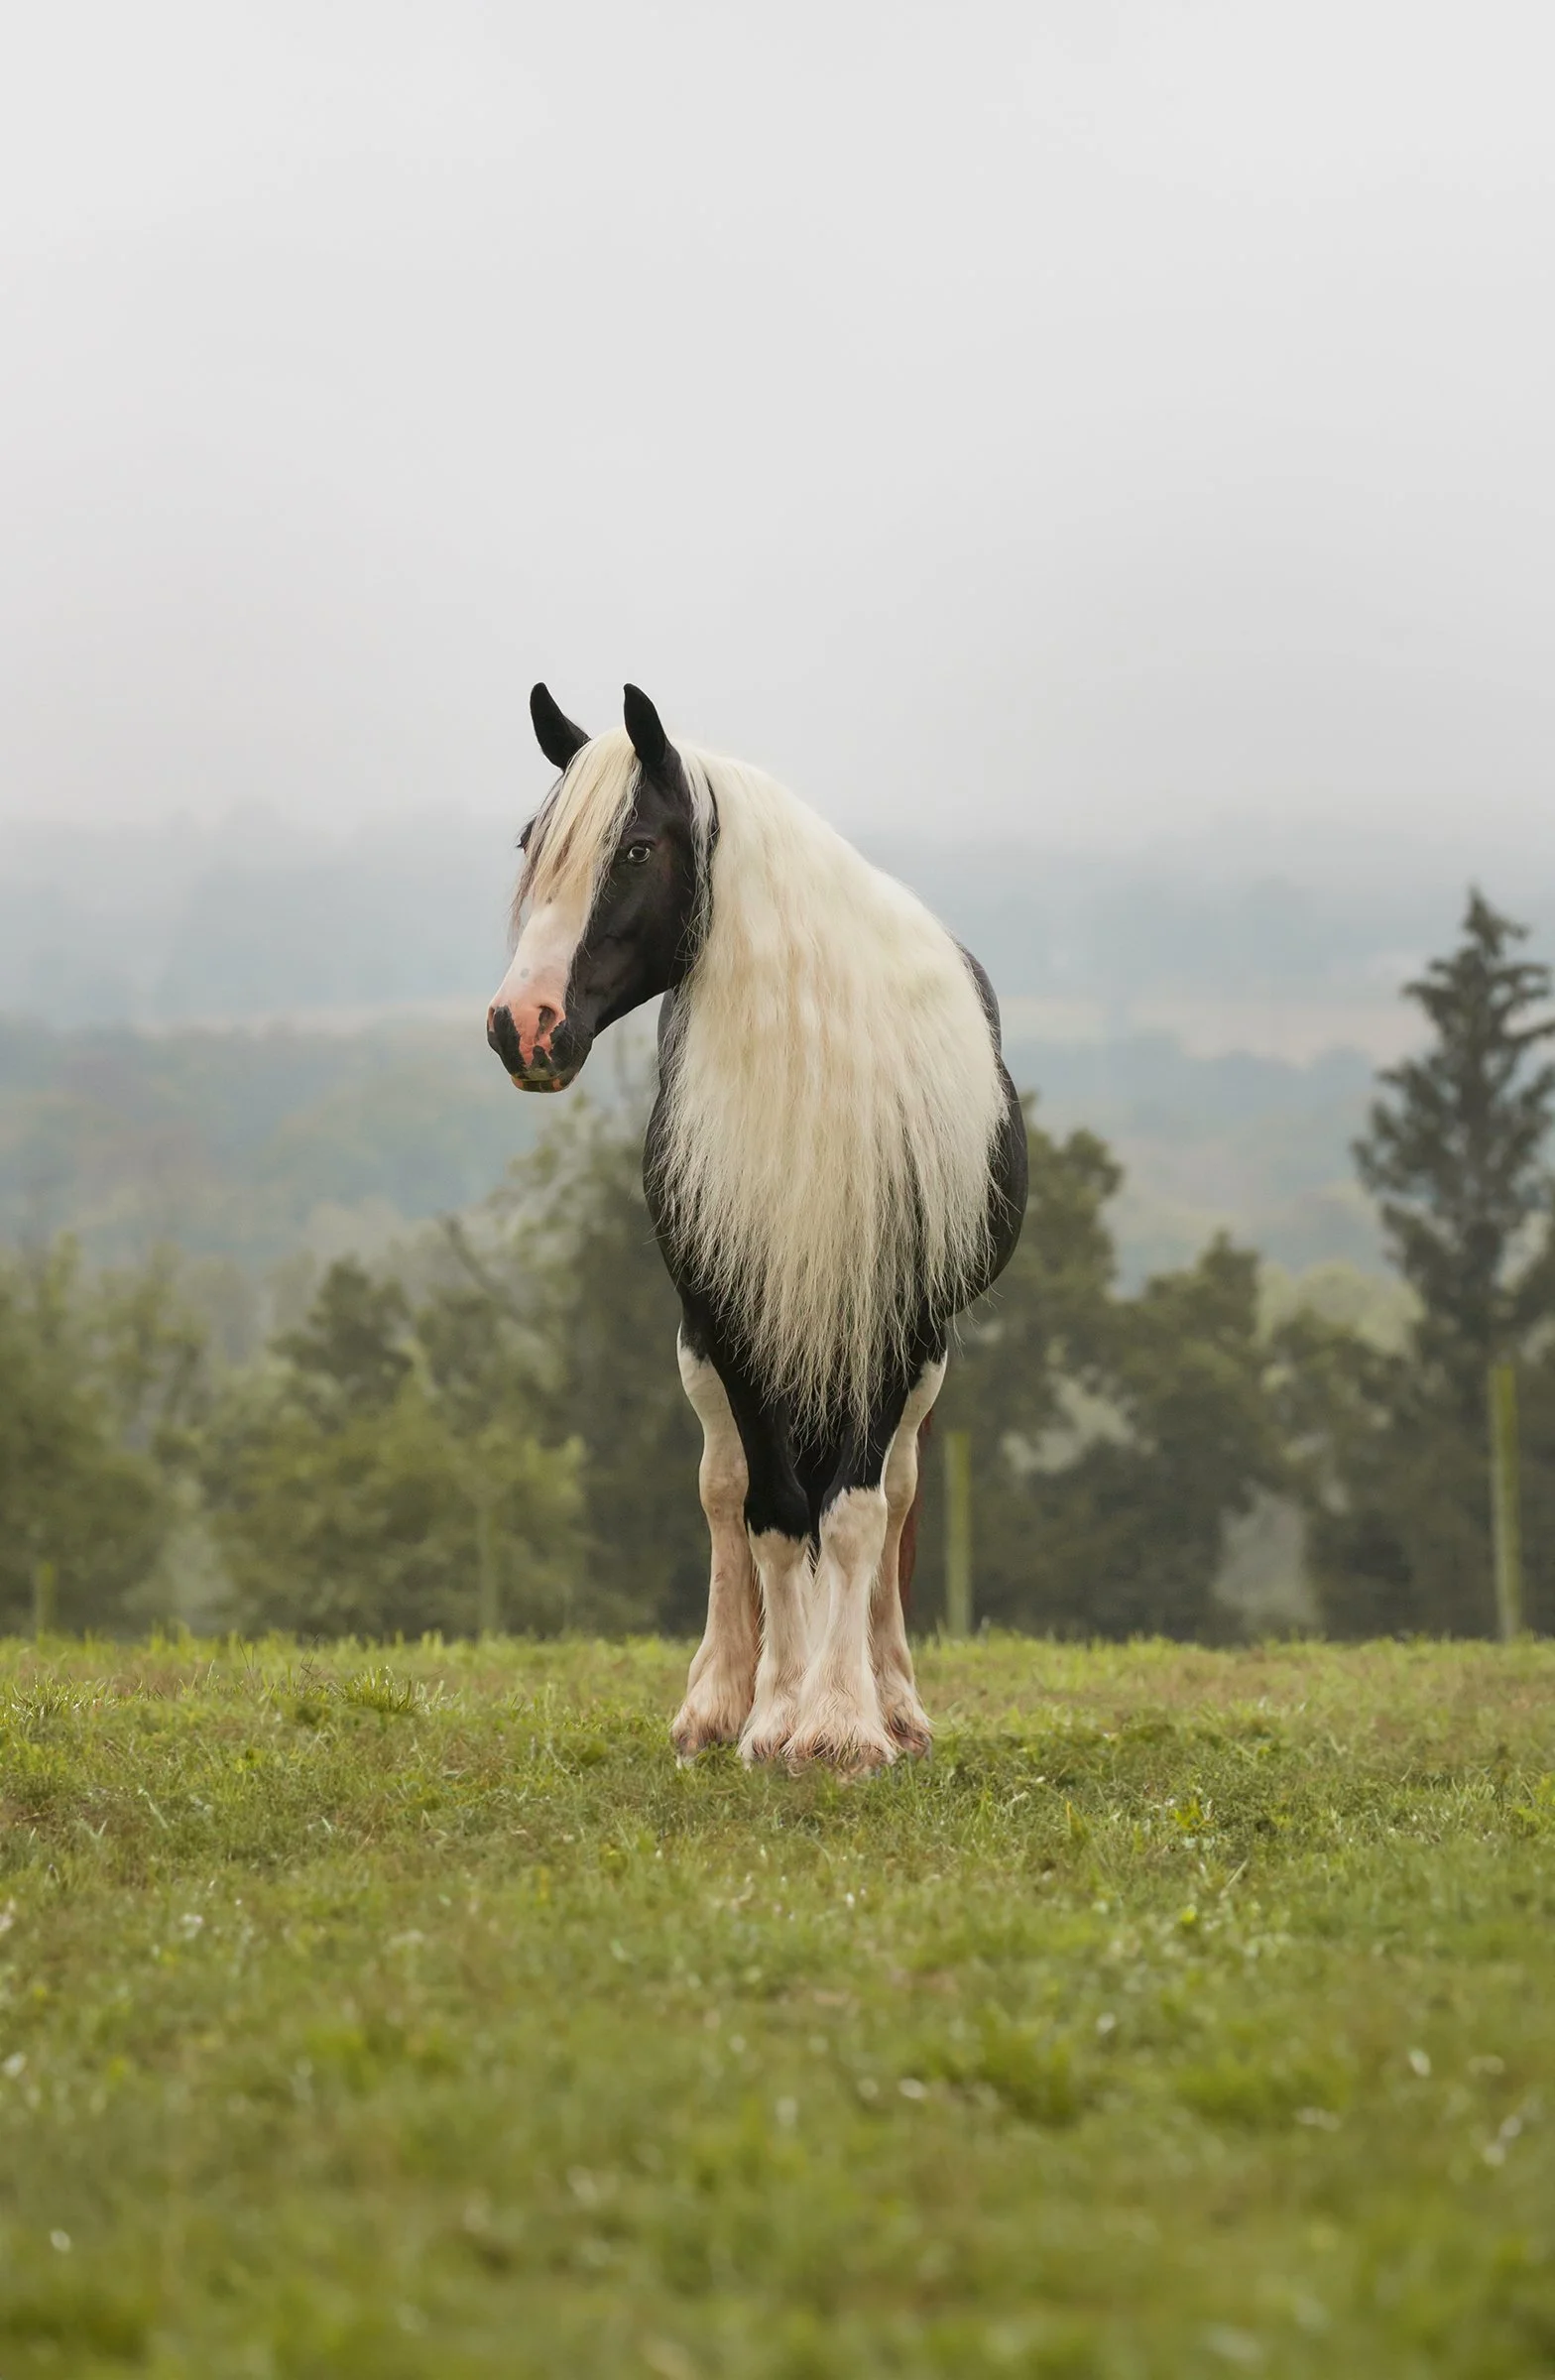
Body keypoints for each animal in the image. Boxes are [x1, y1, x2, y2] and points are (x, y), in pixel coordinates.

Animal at [487, 684, 1027, 1775]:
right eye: (533, 841)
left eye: (636, 849)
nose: (522, 1026)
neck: (817, 1074)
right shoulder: (731, 1314)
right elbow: (772, 1514)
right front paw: (776, 1714)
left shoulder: (889, 1322)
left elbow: (857, 1512)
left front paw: (846, 1724)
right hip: (705, 1343)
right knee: (725, 1489)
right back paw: (720, 1699)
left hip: (921, 1352)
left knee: (894, 1494)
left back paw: (892, 1699)